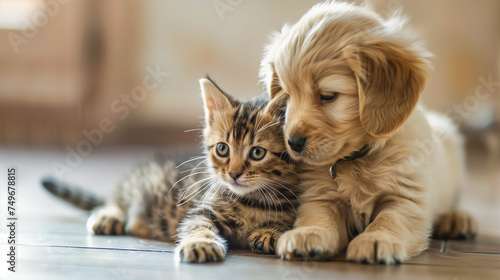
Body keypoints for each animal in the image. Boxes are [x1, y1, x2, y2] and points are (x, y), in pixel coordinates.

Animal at [40, 77, 304, 262]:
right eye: (222, 149)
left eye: (257, 153)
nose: (233, 174)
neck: (254, 199)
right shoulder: (203, 209)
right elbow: (196, 225)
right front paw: (200, 243)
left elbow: (288, 221)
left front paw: (272, 231)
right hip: (142, 181)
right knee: (117, 198)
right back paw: (109, 215)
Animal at [260, 1, 478, 264]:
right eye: (287, 96)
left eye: (328, 96)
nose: (293, 142)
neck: (358, 159)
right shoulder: (319, 195)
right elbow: (318, 217)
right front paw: (307, 234)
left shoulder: (406, 198)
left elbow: (390, 219)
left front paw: (376, 239)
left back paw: (456, 219)